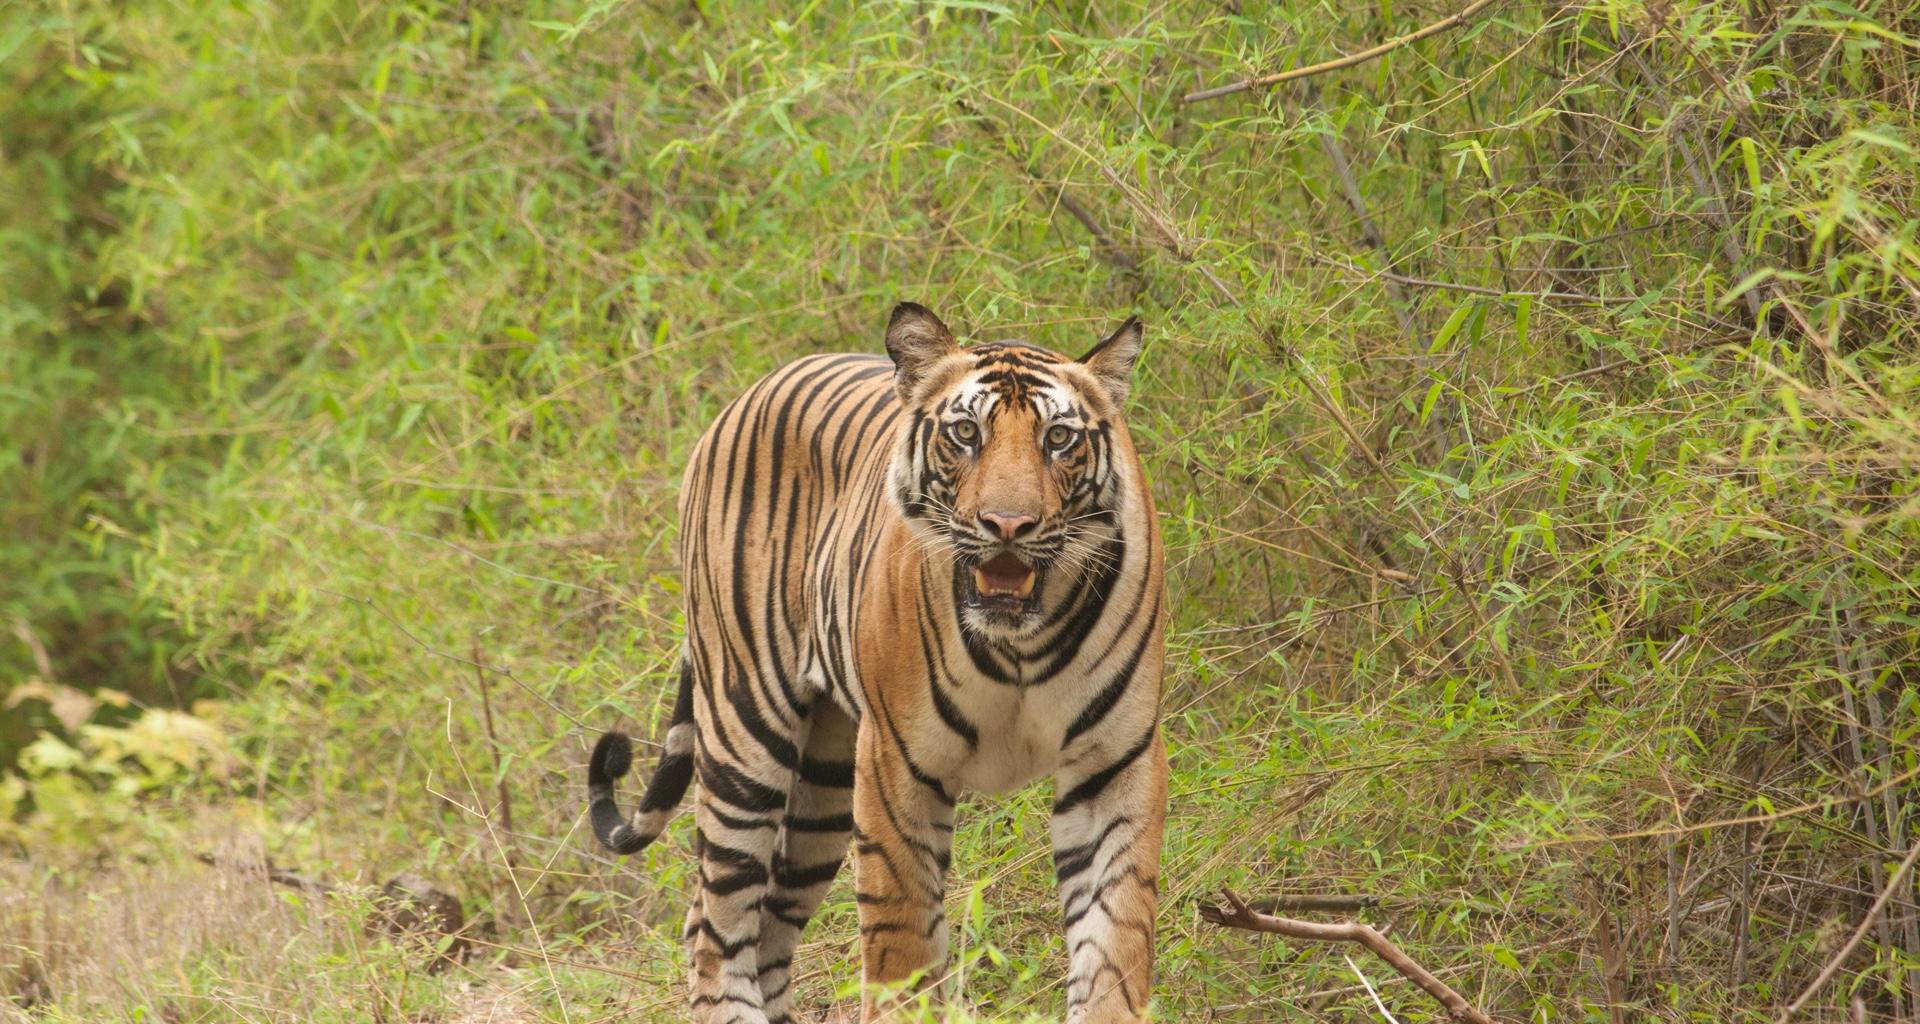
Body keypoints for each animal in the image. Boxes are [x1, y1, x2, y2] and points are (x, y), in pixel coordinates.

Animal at [583, 303, 1159, 1022]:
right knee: (713, 924)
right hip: (746, 735)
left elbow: (1115, 939)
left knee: (766, 924)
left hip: (822, 781)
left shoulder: (1115, 767)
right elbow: (902, 943)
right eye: (966, 433)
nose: (1008, 525)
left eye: (1058, 439)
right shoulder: (896, 765)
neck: (1021, 643)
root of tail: (747, 393)